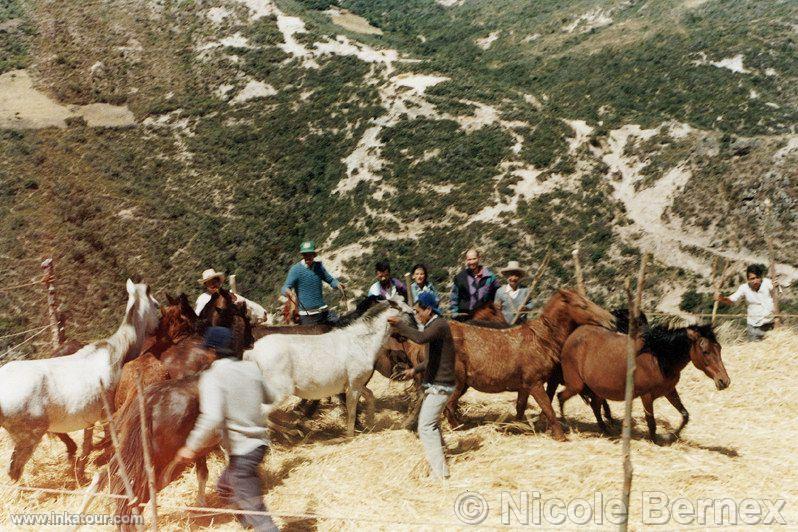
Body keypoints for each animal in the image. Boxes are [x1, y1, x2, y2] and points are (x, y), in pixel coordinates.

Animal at [0, 278, 159, 482]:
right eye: (156, 305)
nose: (158, 327)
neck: (116, 352)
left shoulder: (90, 418)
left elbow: (87, 444)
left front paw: (82, 472)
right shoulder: (107, 414)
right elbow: (108, 440)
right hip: (29, 437)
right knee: (14, 470)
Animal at [247, 296, 416, 436]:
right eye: (410, 313)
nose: (418, 331)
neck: (360, 342)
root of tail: (253, 353)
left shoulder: (355, 384)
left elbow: (370, 396)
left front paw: (370, 423)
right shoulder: (353, 387)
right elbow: (352, 411)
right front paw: (350, 434)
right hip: (280, 393)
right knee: (262, 414)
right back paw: (291, 433)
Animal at [446, 288, 616, 438]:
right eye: (582, 305)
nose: (612, 321)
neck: (542, 340)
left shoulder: (524, 386)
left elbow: (521, 408)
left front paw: (517, 427)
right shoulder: (536, 383)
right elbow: (548, 407)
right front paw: (560, 435)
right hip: (458, 383)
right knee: (448, 406)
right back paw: (458, 428)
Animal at [556, 322, 732, 442]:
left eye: (719, 348)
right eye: (705, 351)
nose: (724, 381)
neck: (658, 357)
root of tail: (572, 336)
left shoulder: (669, 391)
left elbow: (685, 415)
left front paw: (672, 436)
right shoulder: (646, 396)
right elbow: (651, 422)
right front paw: (656, 441)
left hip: (598, 389)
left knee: (595, 406)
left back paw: (605, 430)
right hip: (576, 385)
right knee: (561, 397)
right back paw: (565, 426)